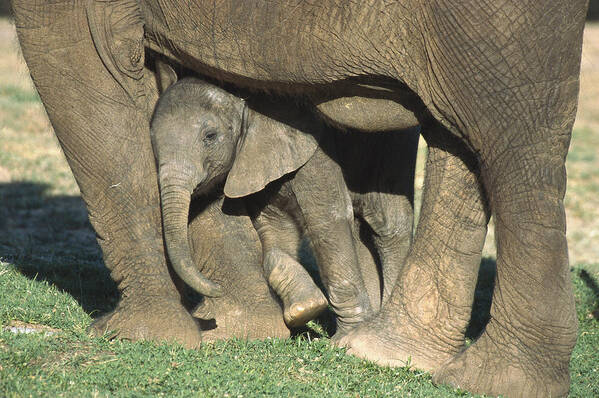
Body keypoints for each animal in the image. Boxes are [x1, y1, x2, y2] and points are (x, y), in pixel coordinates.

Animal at [151, 74, 418, 332]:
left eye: (210, 136)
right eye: (152, 142)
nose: (216, 288)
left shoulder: (312, 150)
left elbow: (327, 221)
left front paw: (346, 334)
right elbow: (274, 232)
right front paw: (304, 310)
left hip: (393, 141)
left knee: (387, 223)